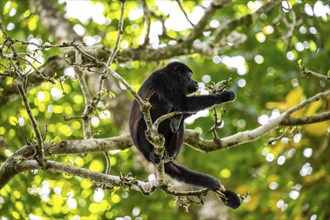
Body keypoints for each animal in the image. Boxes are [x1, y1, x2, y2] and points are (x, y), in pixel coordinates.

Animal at [130, 61, 241, 208]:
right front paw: (223, 96)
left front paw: (177, 117)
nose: (195, 81)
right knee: (143, 121)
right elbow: (183, 102)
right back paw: (154, 153)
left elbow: (184, 108)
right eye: (189, 75)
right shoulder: (163, 79)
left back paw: (175, 126)